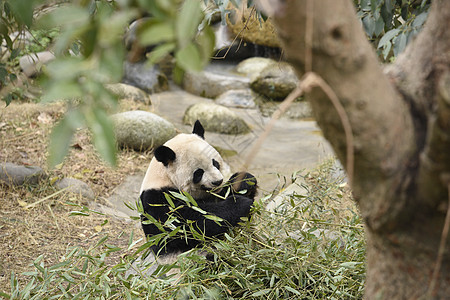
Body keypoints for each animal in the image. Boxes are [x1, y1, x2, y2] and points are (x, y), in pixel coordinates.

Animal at [139, 120, 255, 256]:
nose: (217, 181)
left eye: (215, 163)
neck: (166, 177)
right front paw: (241, 203)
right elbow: (185, 226)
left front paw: (245, 181)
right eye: (198, 173)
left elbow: (222, 195)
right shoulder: (157, 199)